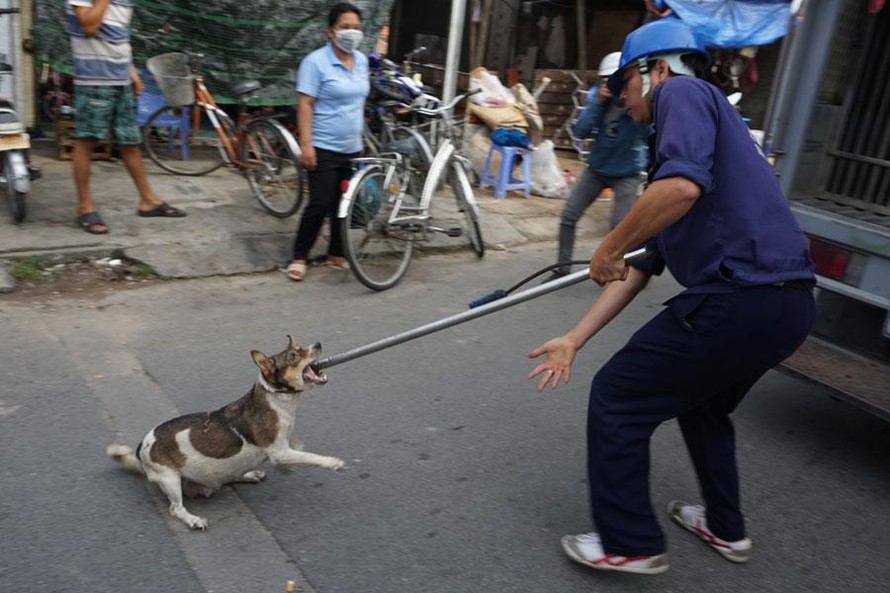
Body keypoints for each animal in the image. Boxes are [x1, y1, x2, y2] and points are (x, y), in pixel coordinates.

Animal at [105, 336, 340, 528]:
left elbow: (298, 447)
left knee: (227, 475)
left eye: (301, 348)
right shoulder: (280, 453)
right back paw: (193, 520)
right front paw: (332, 462)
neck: (276, 397)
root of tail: (141, 447)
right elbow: (310, 457)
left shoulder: (285, 445)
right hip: (170, 480)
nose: (318, 344)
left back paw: (249, 474)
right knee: (176, 509)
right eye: (293, 356)